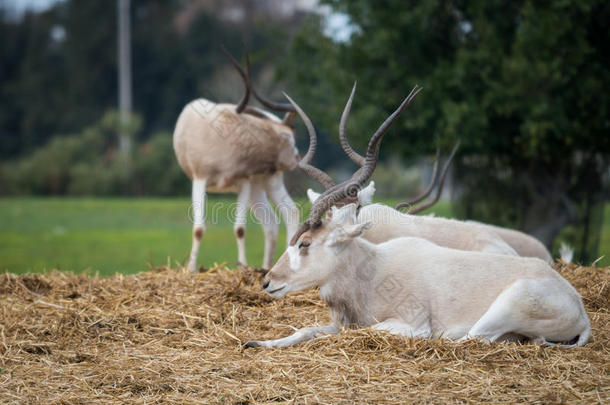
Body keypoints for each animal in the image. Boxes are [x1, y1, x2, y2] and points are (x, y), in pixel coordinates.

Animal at [172, 49, 300, 272]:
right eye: (287, 137)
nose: (297, 157)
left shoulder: (244, 181)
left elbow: (239, 229)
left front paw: (242, 266)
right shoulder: (200, 178)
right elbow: (198, 229)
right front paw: (191, 268)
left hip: (267, 181)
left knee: (287, 214)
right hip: (260, 185)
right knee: (273, 221)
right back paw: (268, 266)